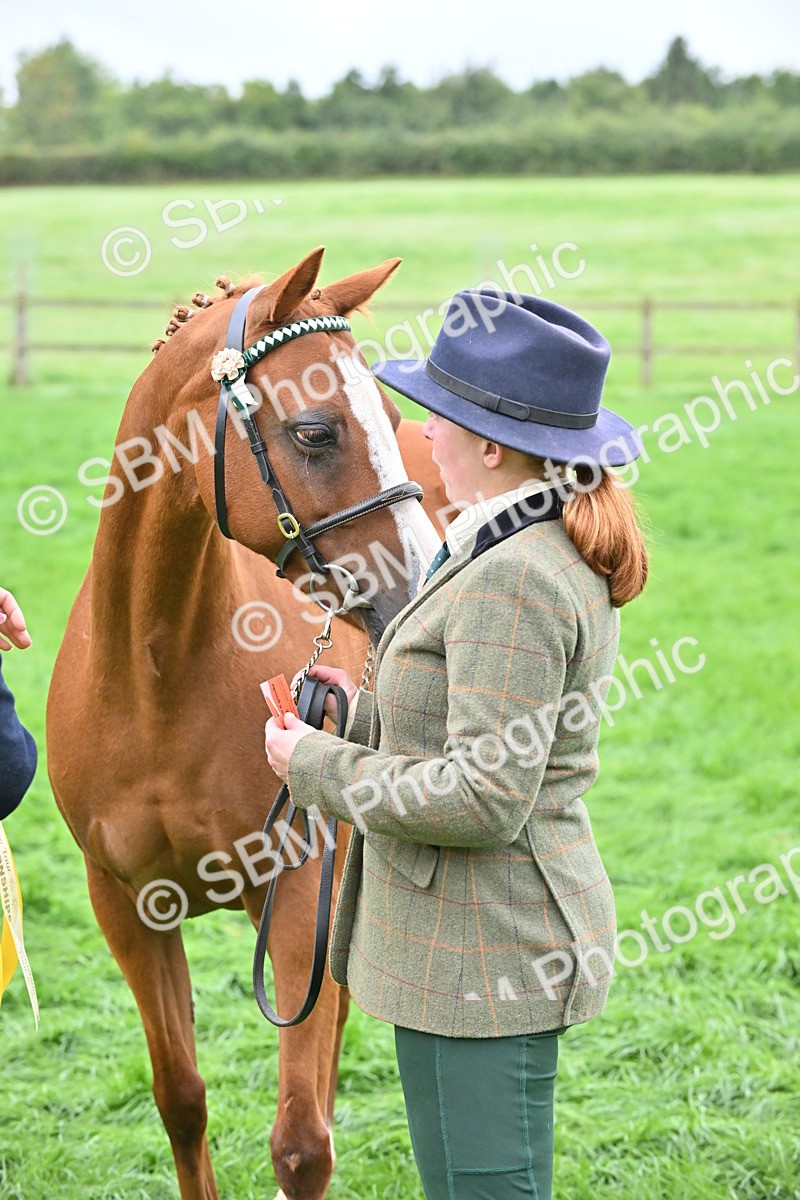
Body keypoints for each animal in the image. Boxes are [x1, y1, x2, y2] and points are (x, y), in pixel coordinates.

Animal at [46, 247, 451, 1200]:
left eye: (389, 414)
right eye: (315, 432)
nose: (425, 582)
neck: (155, 680)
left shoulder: (298, 894)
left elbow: (301, 1141)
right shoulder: (127, 907)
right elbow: (181, 1099)